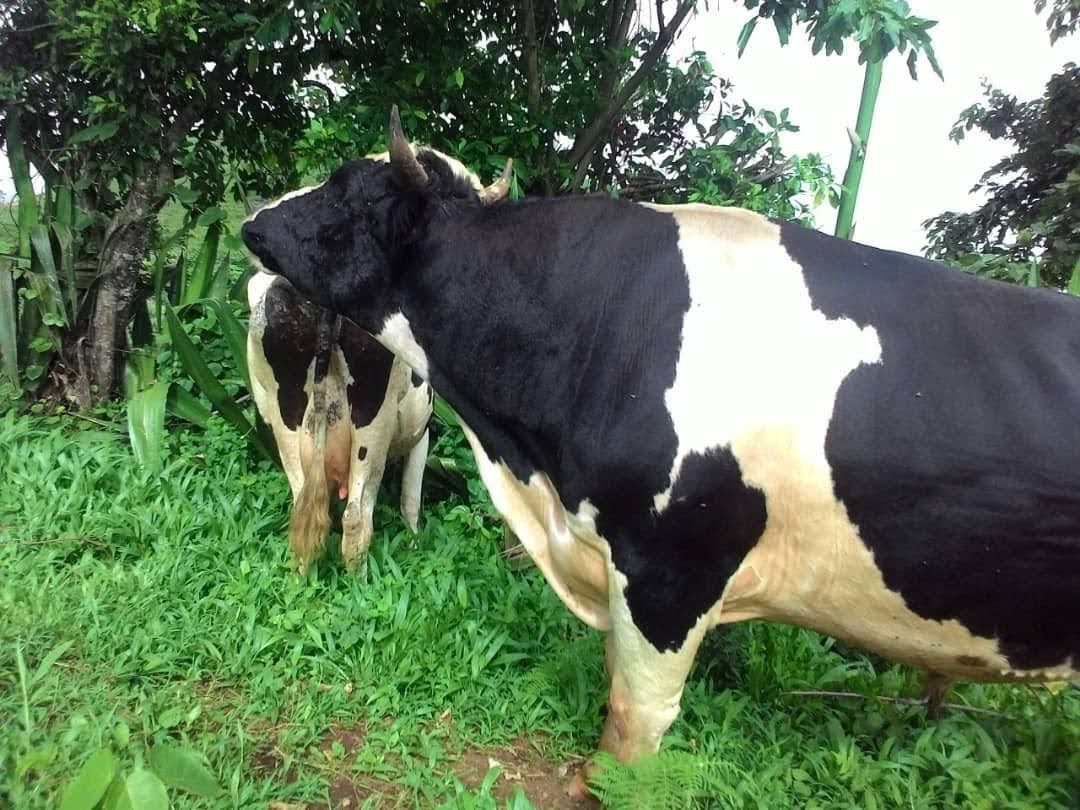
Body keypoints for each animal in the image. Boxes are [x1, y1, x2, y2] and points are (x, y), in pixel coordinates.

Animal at [247, 268, 432, 573]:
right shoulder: (421, 433)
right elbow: (411, 500)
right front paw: (415, 547)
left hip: (285, 419)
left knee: (301, 514)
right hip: (373, 424)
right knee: (356, 519)